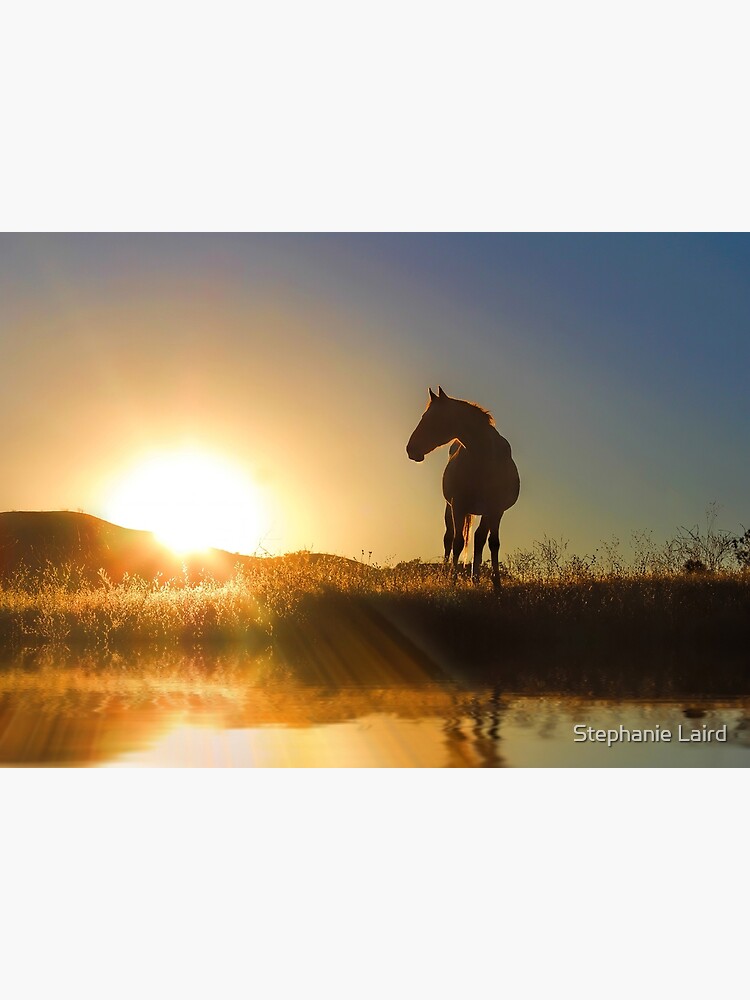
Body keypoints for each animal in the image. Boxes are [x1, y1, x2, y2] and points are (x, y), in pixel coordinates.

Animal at [408, 384, 520, 584]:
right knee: (449, 538)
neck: (483, 457)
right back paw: (446, 574)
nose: (411, 449)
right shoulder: (458, 506)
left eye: (434, 418)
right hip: (449, 508)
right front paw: (452, 582)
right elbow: (457, 542)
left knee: (479, 538)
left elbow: (493, 543)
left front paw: (497, 583)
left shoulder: (496, 509)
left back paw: (475, 579)